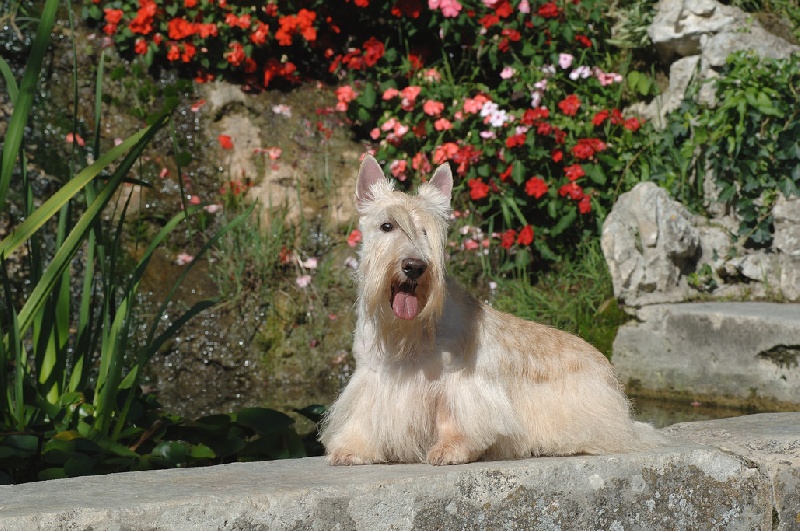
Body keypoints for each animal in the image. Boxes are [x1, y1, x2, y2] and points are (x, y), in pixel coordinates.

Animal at [318, 155, 664, 466]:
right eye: (386, 225)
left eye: (428, 231)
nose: (414, 267)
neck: (407, 332)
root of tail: (609, 374)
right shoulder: (371, 377)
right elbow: (363, 414)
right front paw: (352, 449)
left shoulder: (457, 383)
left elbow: (454, 418)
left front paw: (451, 449)